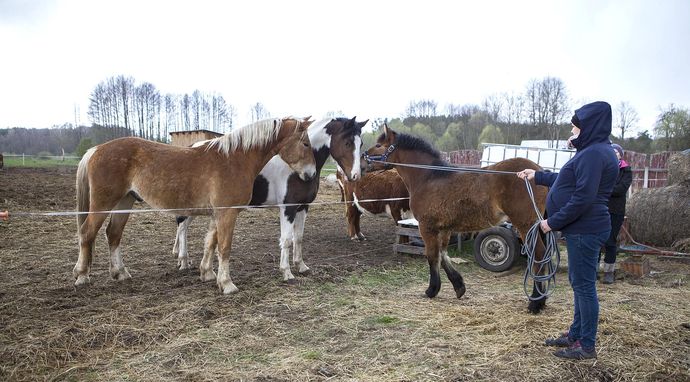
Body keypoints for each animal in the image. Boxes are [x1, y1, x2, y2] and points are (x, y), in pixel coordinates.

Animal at [73, 118, 314, 294]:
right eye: (305, 143)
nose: (310, 174)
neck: (234, 159)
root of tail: (95, 150)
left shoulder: (217, 214)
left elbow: (211, 243)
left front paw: (207, 274)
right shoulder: (227, 214)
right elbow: (224, 247)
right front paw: (227, 284)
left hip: (124, 202)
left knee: (113, 234)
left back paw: (120, 272)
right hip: (104, 203)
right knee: (87, 232)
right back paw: (82, 275)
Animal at [360, 125, 548, 314]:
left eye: (378, 145)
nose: (361, 162)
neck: (428, 177)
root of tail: (537, 171)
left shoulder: (427, 227)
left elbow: (432, 256)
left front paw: (432, 290)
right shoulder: (444, 228)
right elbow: (443, 255)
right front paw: (459, 286)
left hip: (525, 225)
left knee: (538, 254)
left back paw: (535, 303)